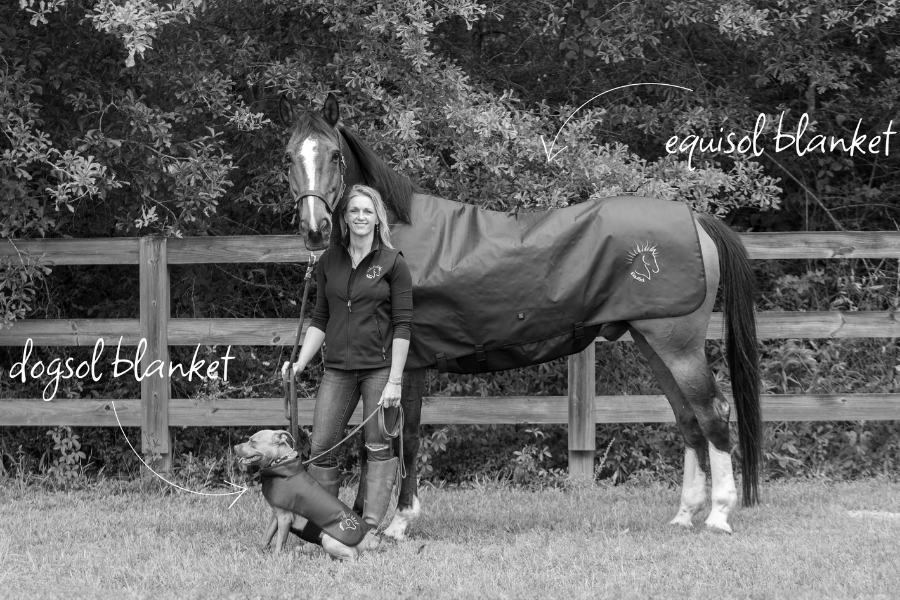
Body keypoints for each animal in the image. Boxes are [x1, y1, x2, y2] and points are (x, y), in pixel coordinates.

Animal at [278, 93, 762, 537]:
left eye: (334, 155)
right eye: (289, 156)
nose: (315, 229)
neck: (392, 236)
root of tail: (697, 221)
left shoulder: (408, 363)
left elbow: (404, 438)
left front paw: (398, 521)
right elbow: (374, 439)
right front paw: (365, 517)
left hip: (678, 346)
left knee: (713, 412)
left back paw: (718, 515)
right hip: (653, 343)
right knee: (688, 419)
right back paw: (684, 514)